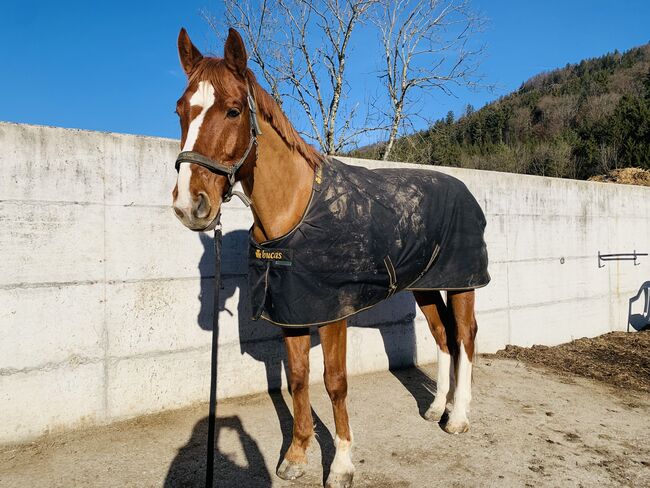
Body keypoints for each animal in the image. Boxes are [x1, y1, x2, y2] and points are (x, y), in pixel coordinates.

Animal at [170, 28, 478, 488]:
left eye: (232, 110)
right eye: (180, 111)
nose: (190, 205)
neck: (297, 209)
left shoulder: (333, 314)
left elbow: (335, 383)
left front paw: (342, 464)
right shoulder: (292, 312)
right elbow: (298, 380)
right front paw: (297, 456)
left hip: (463, 283)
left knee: (466, 337)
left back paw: (458, 418)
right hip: (425, 285)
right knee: (443, 336)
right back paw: (437, 408)